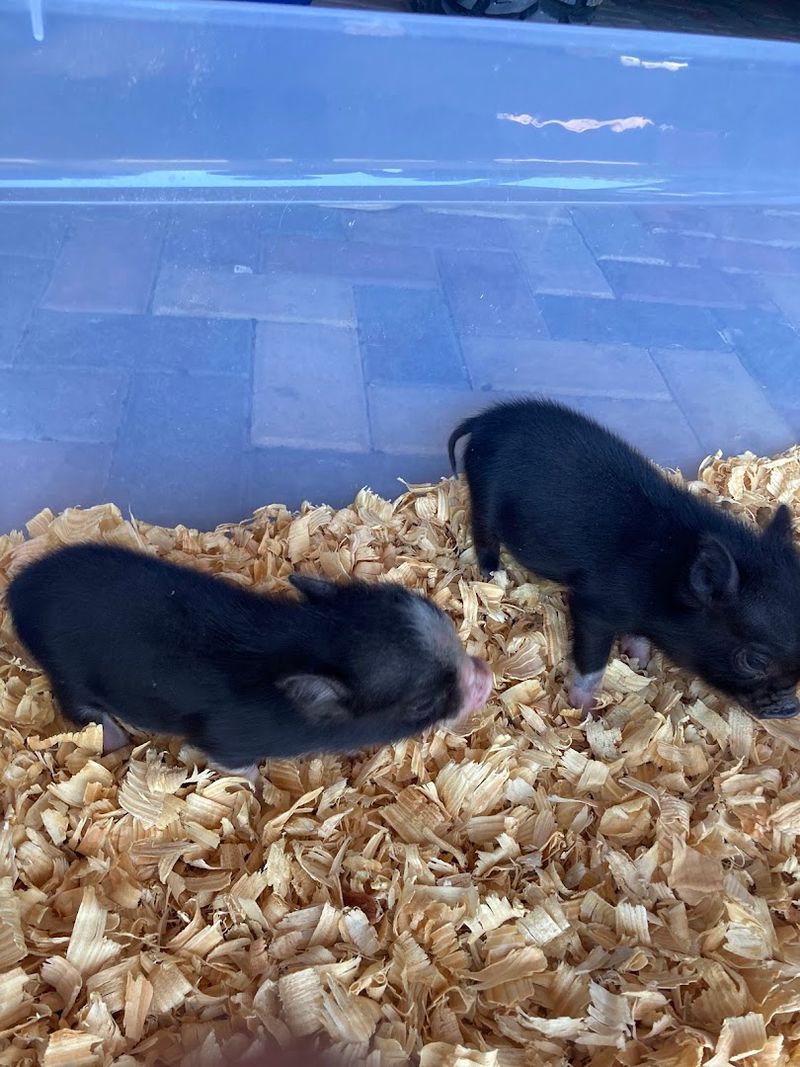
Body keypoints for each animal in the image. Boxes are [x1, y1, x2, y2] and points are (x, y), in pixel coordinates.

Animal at [7, 544, 493, 780]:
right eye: (422, 703)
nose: (486, 676)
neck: (312, 641)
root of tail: (18, 590)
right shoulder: (226, 742)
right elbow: (240, 767)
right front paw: (259, 790)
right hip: (67, 673)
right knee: (79, 708)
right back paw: (115, 739)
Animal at [448, 398, 800, 720]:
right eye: (755, 661)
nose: (790, 709)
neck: (666, 572)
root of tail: (486, 420)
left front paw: (640, 663)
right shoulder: (595, 604)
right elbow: (592, 660)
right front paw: (585, 710)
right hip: (483, 492)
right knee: (482, 532)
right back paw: (493, 574)